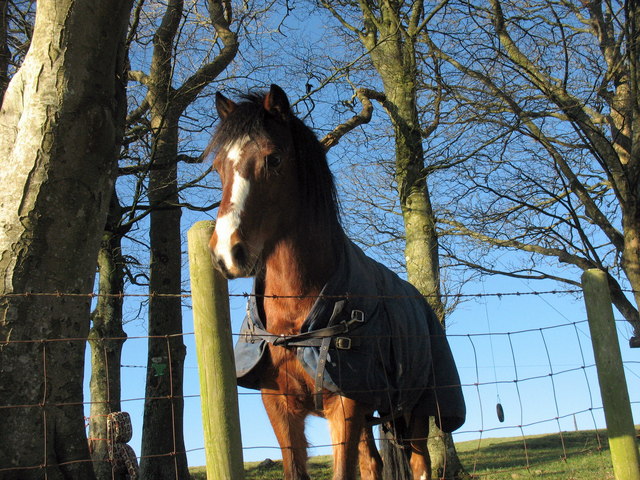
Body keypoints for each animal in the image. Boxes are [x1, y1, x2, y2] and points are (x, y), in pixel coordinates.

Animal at [208, 84, 462, 478]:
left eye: (274, 159)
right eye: (219, 166)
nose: (225, 253)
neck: (295, 316)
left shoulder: (345, 404)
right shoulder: (279, 406)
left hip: (416, 410)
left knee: (420, 462)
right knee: (373, 464)